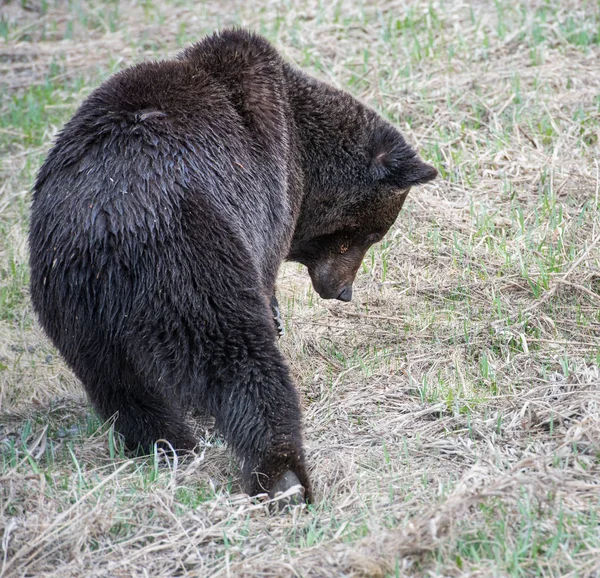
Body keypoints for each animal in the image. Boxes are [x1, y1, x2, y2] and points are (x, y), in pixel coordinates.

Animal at [29, 29, 436, 502]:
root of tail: (107, 226)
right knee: (236, 355)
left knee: (119, 385)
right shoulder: (264, 195)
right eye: (365, 235)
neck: (303, 155)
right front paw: (276, 315)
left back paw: (169, 446)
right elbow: (261, 285)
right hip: (188, 257)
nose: (344, 291)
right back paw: (283, 474)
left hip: (72, 302)